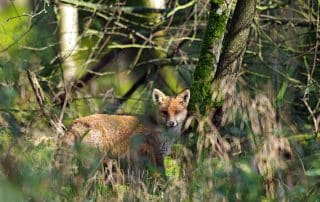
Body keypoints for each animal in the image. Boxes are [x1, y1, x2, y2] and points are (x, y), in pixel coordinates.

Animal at [55, 89, 190, 178]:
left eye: (177, 112)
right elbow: (160, 177)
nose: (171, 123)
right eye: (164, 112)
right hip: (94, 161)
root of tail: (76, 122)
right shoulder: (152, 155)